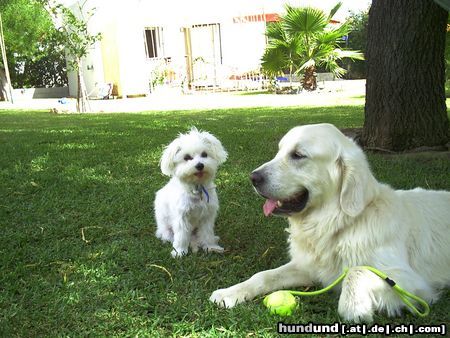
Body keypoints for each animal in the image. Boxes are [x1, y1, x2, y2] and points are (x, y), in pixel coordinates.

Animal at [156, 128, 229, 258]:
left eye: (204, 154)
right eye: (187, 157)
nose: (200, 165)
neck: (196, 189)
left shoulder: (207, 216)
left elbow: (207, 233)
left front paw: (210, 247)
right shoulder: (181, 217)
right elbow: (181, 236)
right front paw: (179, 251)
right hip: (167, 232)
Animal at [211, 123, 450, 320]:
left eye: (298, 155)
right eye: (279, 151)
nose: (253, 177)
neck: (336, 226)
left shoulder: (410, 281)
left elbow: (356, 271)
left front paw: (354, 307)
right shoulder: (306, 267)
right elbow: (262, 276)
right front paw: (230, 292)